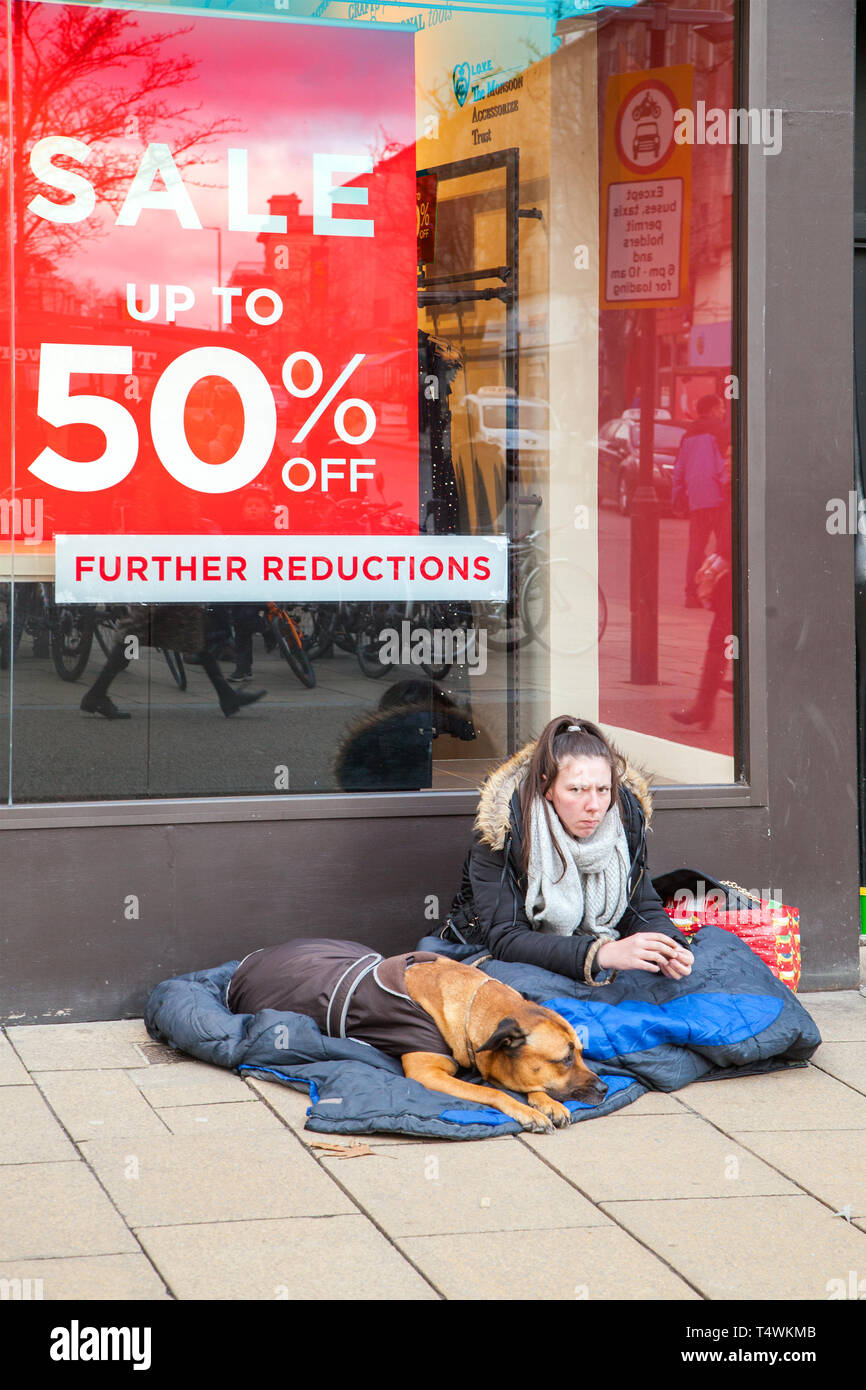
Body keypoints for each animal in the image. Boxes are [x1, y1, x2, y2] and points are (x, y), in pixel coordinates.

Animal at [403, 956, 606, 1128]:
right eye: (565, 1059)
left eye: (581, 1053)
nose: (605, 1088)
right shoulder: (426, 1074)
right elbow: (492, 1091)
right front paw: (527, 1111)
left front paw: (548, 1102)